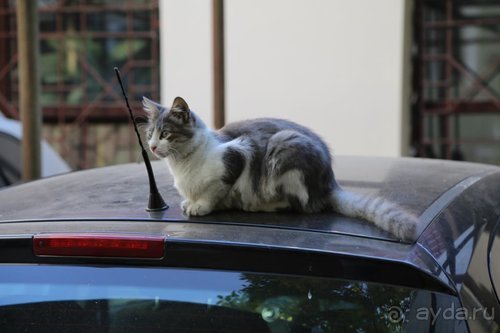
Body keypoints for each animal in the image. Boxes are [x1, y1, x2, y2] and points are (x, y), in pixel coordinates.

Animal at [144, 94, 418, 240]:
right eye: (149, 134)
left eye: (165, 134)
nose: (153, 146)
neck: (183, 165)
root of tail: (329, 183)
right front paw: (190, 202)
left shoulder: (236, 156)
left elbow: (214, 192)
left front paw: (200, 206)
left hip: (284, 148)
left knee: (300, 204)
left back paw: (260, 205)